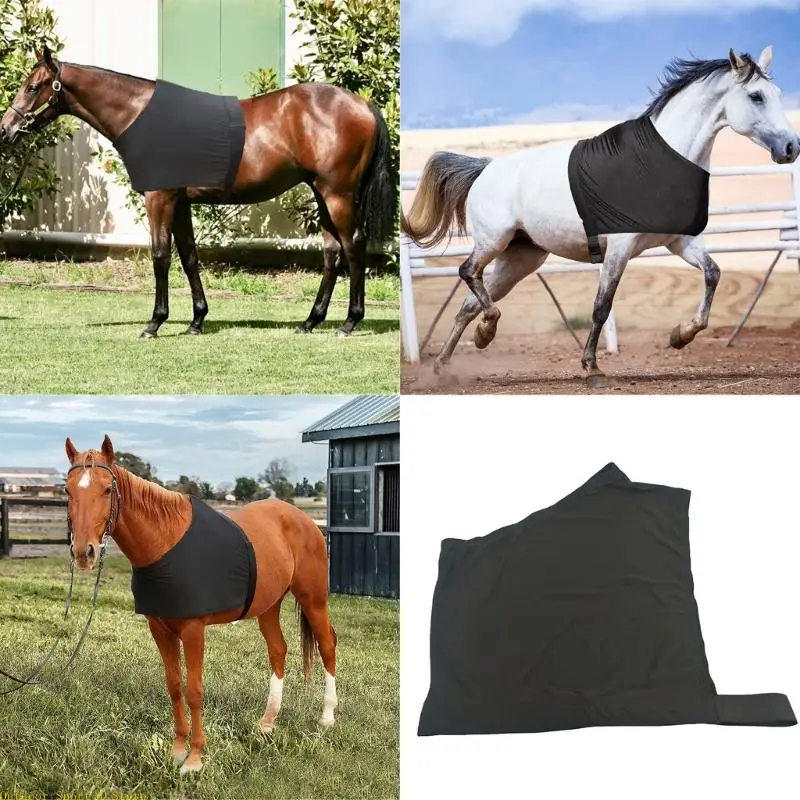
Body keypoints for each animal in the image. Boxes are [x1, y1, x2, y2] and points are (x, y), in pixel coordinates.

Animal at [0, 45, 397, 339]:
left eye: (33, 87)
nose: (6, 129)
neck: (141, 115)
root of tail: (362, 104)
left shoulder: (159, 198)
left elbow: (161, 256)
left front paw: (154, 323)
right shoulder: (180, 202)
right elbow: (189, 256)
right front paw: (196, 320)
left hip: (337, 193)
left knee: (354, 245)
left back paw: (350, 321)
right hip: (321, 193)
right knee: (332, 253)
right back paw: (310, 321)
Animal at [63, 435, 337, 775]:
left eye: (106, 489)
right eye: (68, 490)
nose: (83, 552)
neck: (165, 542)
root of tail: (304, 521)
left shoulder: (194, 630)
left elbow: (194, 691)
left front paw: (194, 759)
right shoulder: (160, 629)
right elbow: (174, 686)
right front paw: (177, 750)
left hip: (313, 600)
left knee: (327, 645)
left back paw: (327, 717)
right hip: (268, 606)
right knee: (278, 650)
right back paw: (267, 722)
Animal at [402, 47, 800, 380]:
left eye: (777, 94)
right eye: (756, 96)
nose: (791, 147)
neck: (659, 163)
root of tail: (485, 168)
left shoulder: (679, 242)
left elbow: (713, 274)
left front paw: (680, 335)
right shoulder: (619, 249)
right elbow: (601, 305)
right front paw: (591, 366)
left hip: (520, 259)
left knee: (469, 304)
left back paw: (450, 361)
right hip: (493, 242)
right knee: (468, 273)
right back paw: (484, 332)